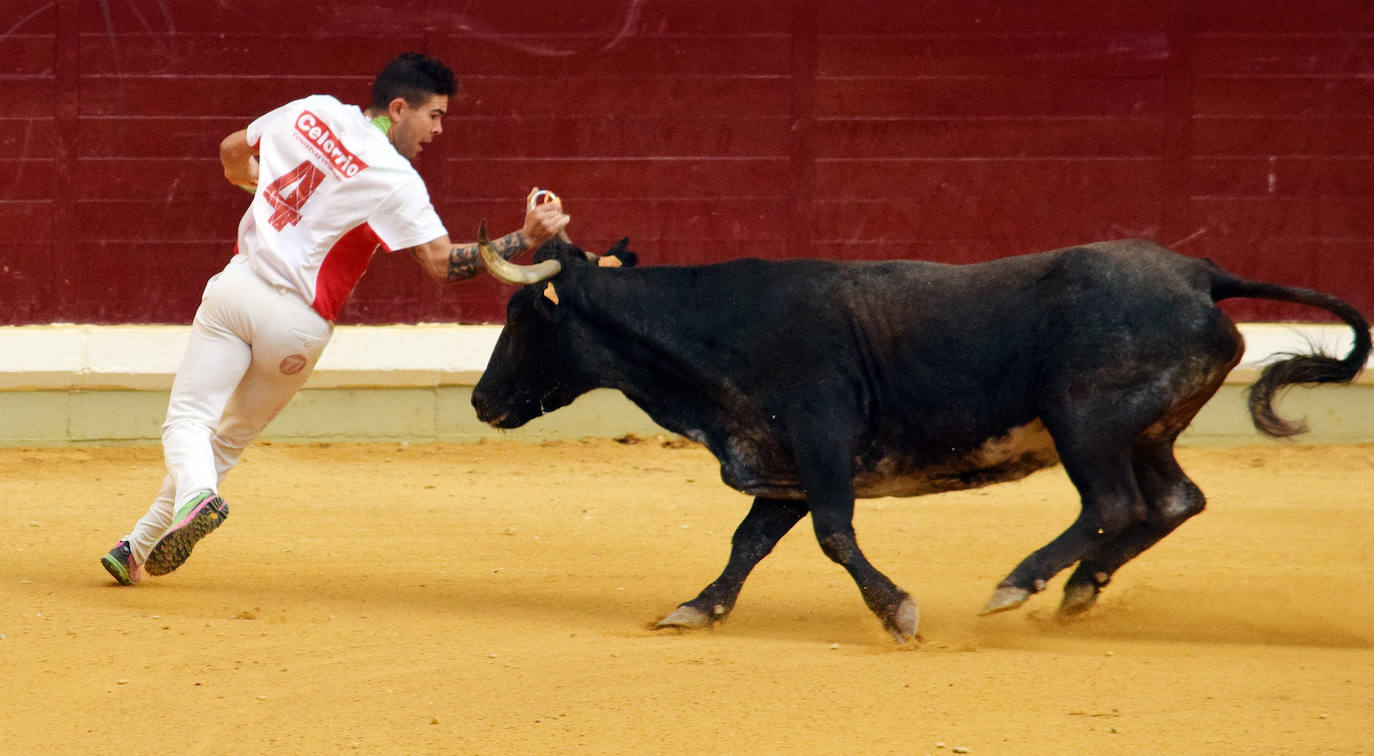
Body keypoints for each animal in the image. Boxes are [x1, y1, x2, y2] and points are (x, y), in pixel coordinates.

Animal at [469, 233, 1363, 643]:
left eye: (520, 313)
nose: (480, 399)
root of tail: (1200, 274)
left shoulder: (820, 437)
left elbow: (834, 534)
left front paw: (898, 611)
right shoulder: (783, 464)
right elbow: (748, 543)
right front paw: (697, 608)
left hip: (1086, 422)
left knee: (1111, 503)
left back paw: (1019, 585)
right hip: (1147, 430)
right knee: (1172, 502)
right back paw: (1076, 592)